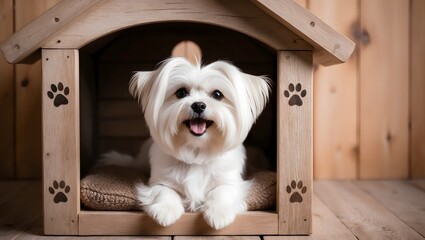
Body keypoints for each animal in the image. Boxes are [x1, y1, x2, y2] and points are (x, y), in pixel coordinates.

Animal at [101, 57, 270, 230]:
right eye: (181, 93)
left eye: (217, 95)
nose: (198, 105)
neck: (196, 150)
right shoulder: (160, 180)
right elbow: (165, 191)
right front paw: (166, 210)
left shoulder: (231, 181)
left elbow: (221, 191)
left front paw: (218, 213)